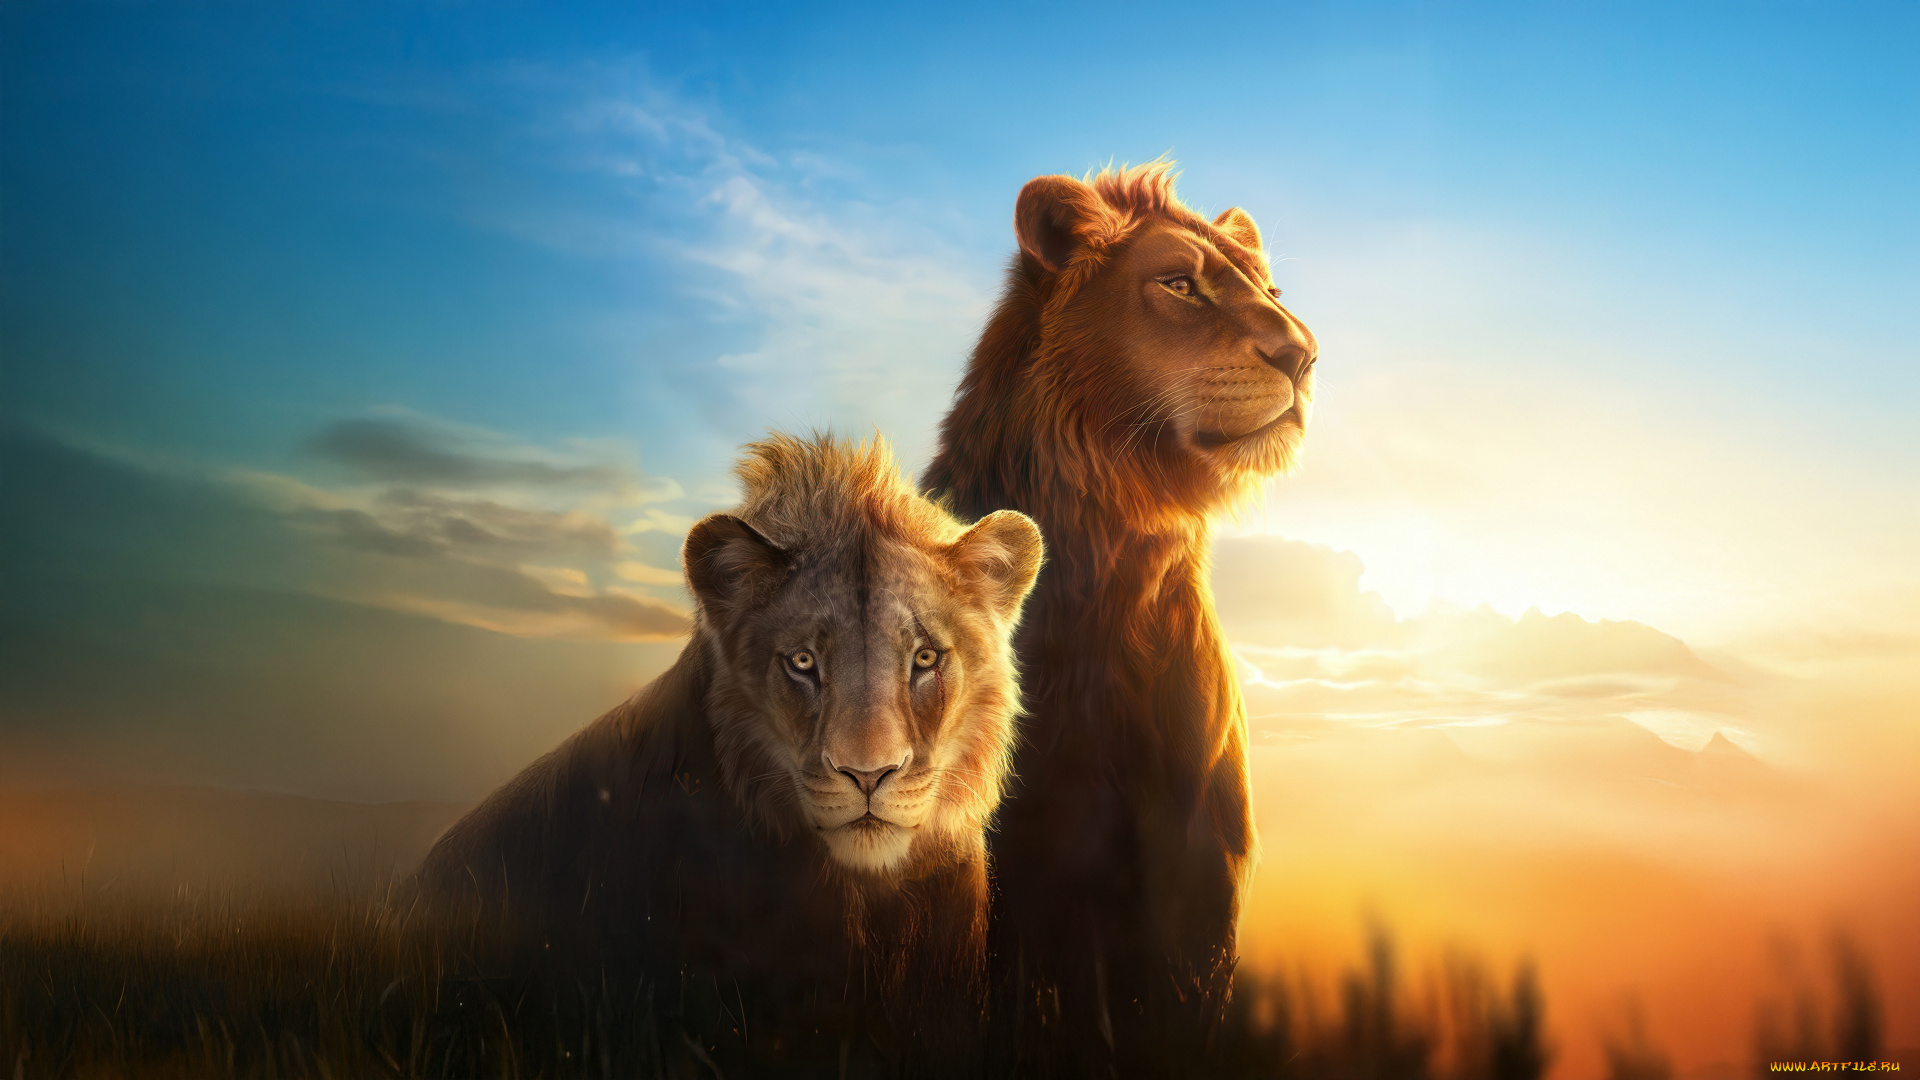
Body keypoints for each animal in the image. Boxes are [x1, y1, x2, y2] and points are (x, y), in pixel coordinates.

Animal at [922, 161, 1318, 1071]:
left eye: (1272, 290)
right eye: (1179, 284)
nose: (1304, 354)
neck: (1118, 576)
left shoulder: (1197, 882)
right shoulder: (1015, 884)